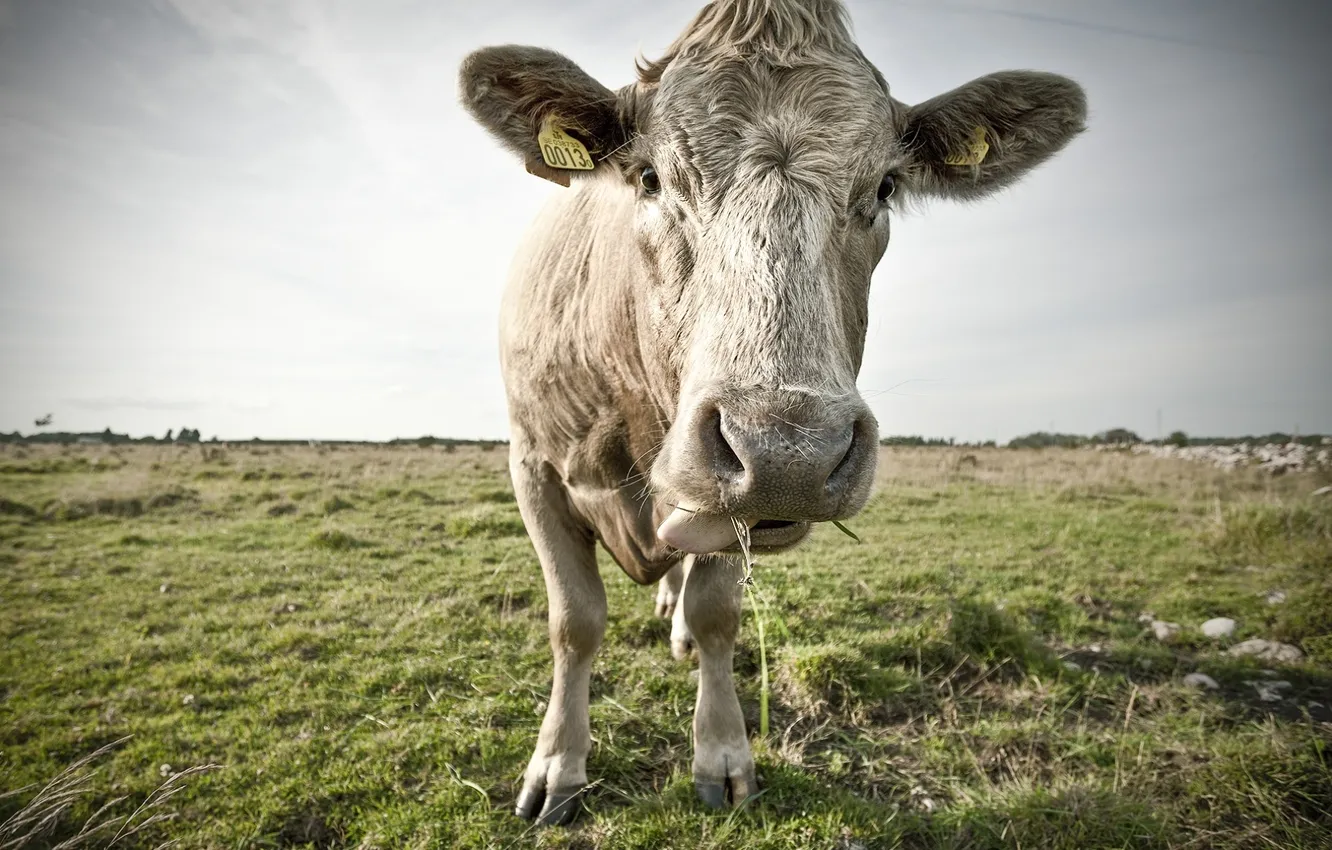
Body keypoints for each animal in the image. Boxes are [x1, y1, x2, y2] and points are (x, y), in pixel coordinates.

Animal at [458, 0, 1086, 825]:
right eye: (650, 177)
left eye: (885, 186)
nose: (789, 453)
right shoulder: (533, 465)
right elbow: (575, 621)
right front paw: (558, 766)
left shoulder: (734, 510)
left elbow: (717, 614)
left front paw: (722, 755)